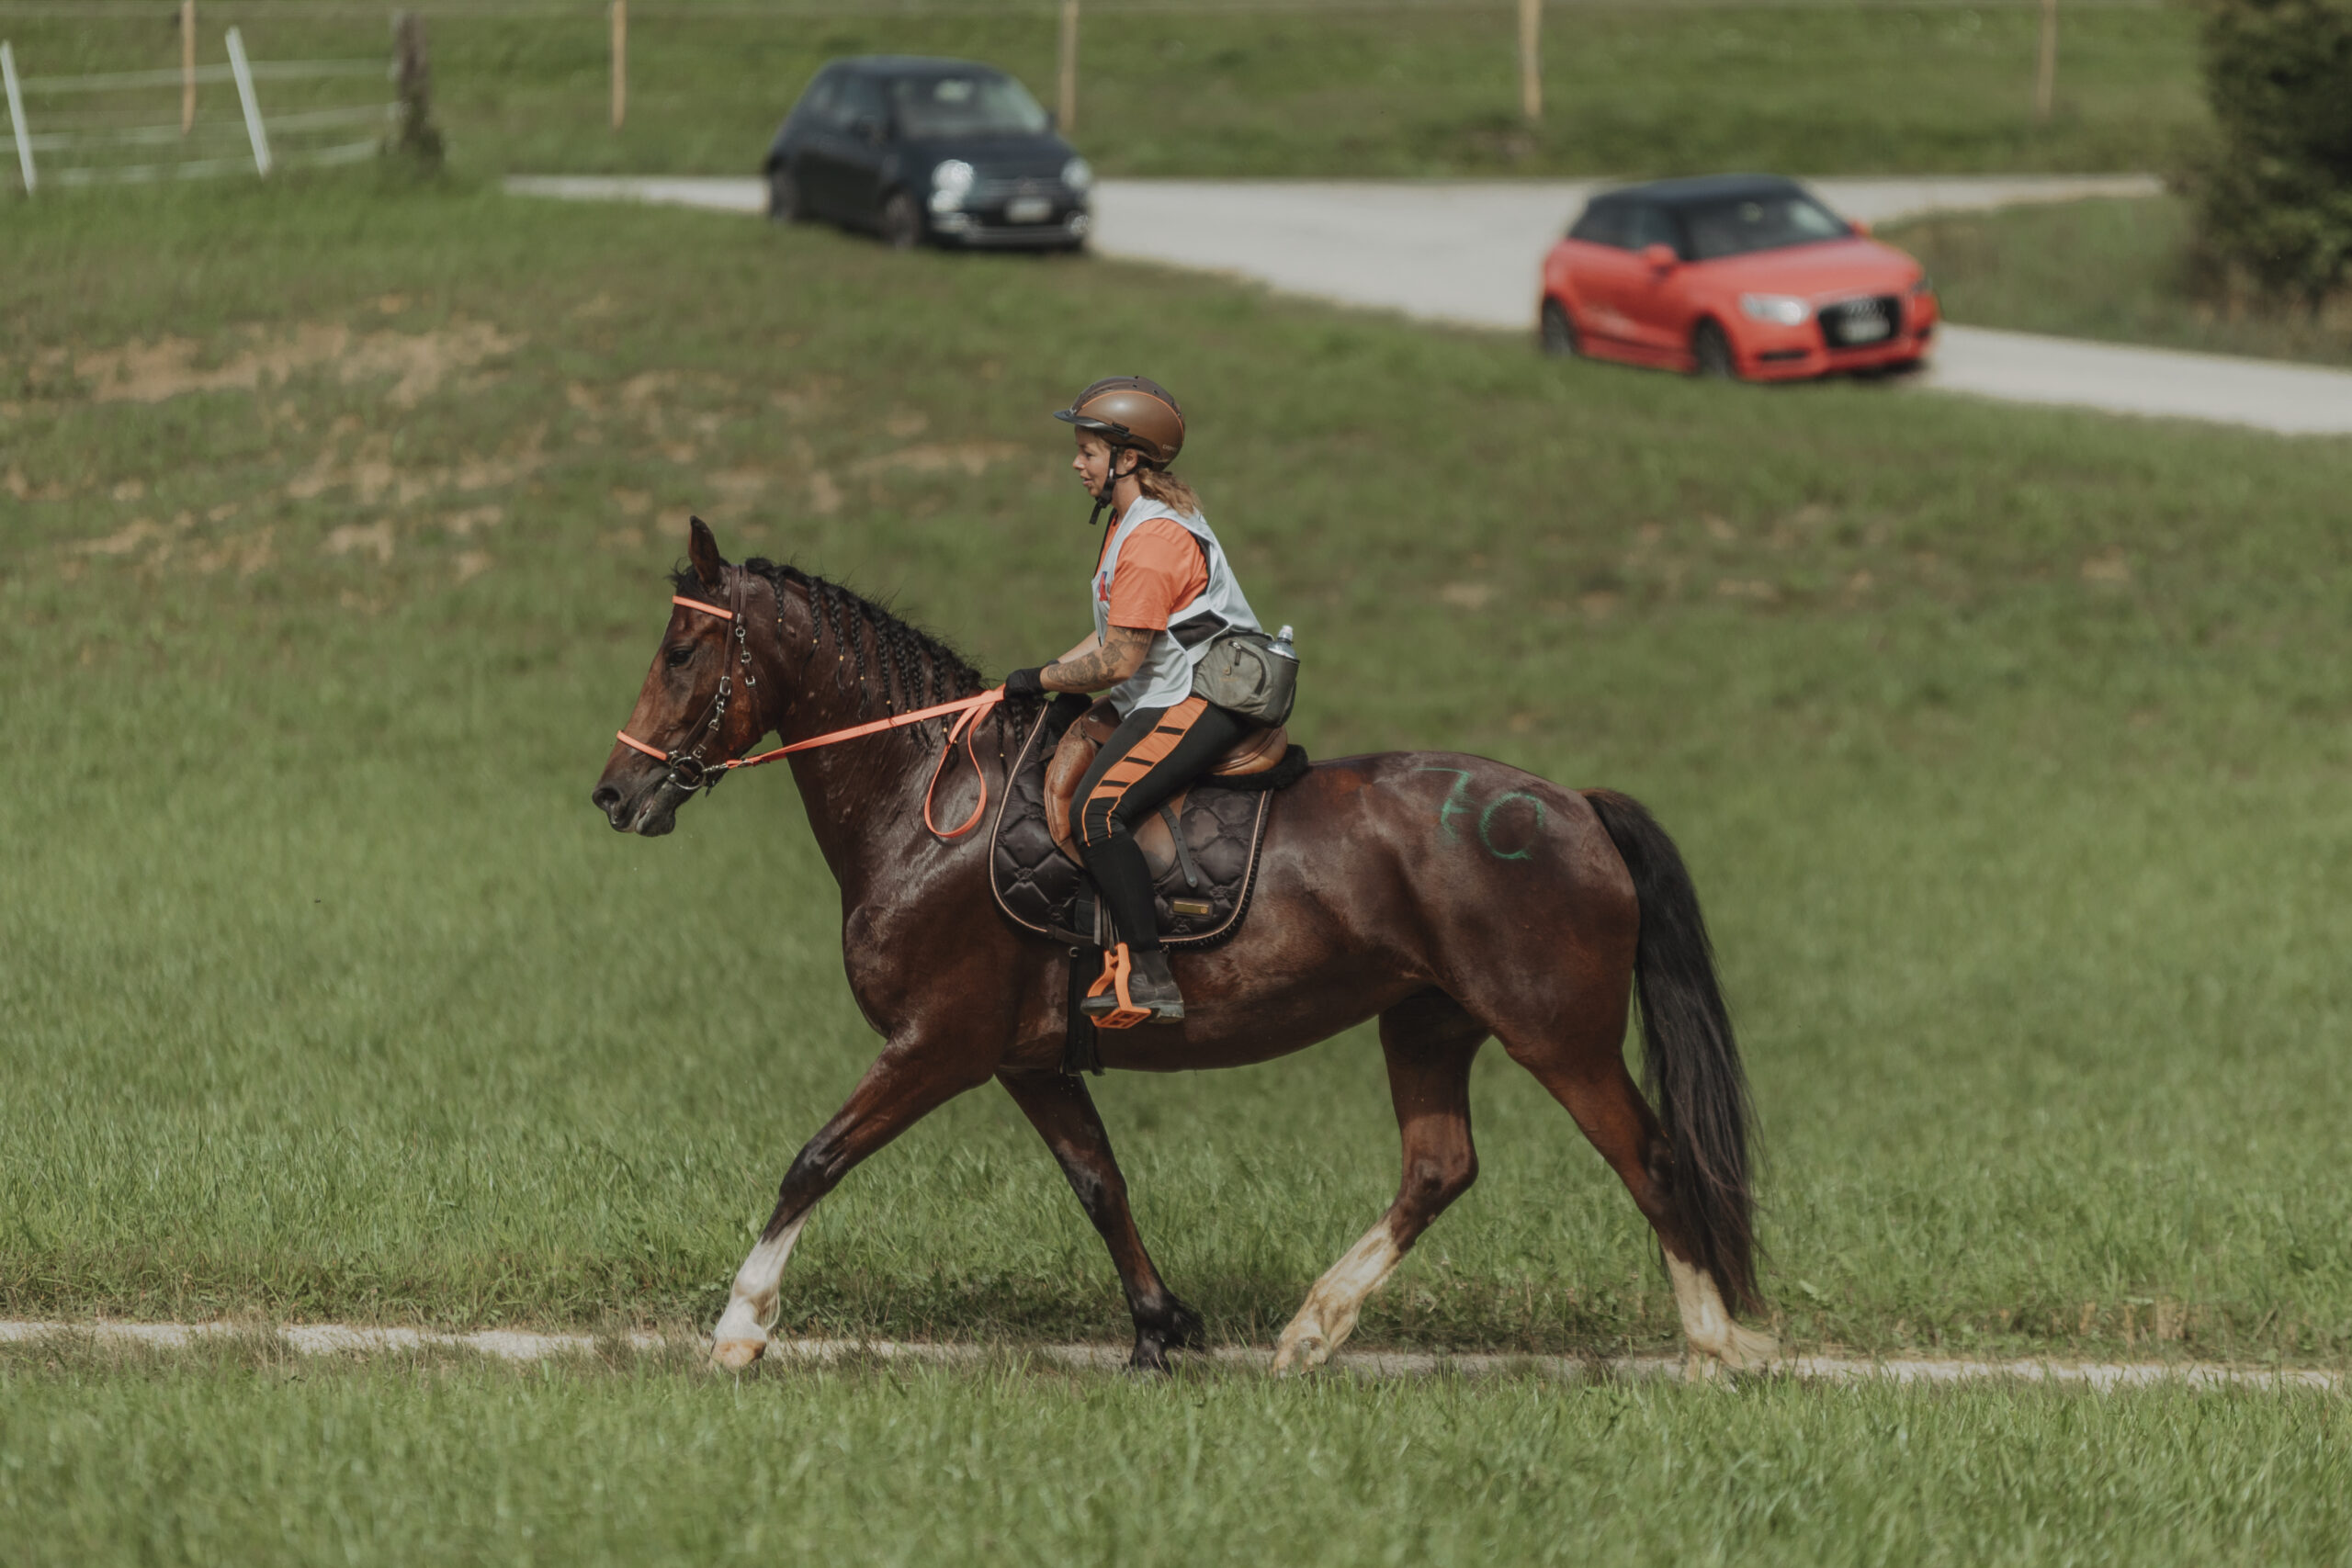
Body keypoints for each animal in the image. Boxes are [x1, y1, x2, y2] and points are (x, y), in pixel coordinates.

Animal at [597, 524, 1769, 1372]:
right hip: (1427, 1020)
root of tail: (1571, 804)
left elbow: (816, 1157)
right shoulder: (1026, 1059)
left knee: (1652, 1159)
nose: (615, 794)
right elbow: (1100, 1184)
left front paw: (741, 1326)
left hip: (1556, 1034)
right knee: (1440, 1167)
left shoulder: (939, 1044)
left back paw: (1712, 1347)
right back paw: (1312, 1329)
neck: (932, 804)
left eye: (682, 652)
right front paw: (1161, 1330)